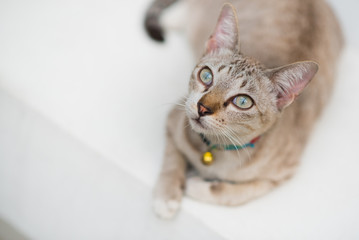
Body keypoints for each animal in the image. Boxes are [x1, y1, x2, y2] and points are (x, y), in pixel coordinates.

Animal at [145, 0, 344, 218]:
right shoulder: (174, 117)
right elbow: (173, 160)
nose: (202, 108)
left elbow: (232, 193)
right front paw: (167, 196)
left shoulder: (279, 175)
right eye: (206, 76)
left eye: (242, 102)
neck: (215, 150)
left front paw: (195, 185)